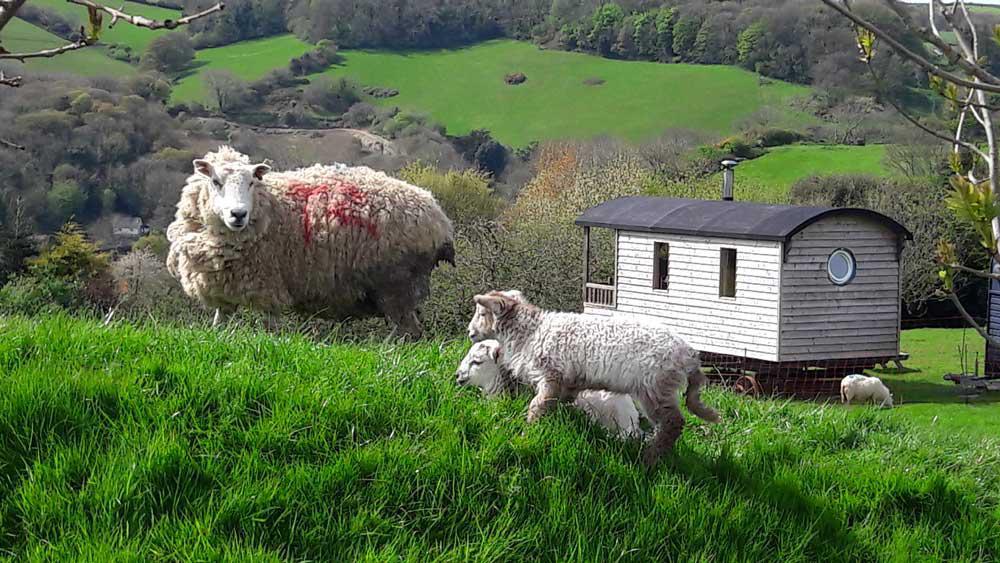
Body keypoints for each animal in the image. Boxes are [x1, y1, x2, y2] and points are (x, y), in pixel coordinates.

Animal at [166, 147, 456, 340]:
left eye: (251, 182)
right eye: (216, 181)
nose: (238, 214)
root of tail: (439, 219)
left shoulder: (269, 285)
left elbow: (271, 329)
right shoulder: (225, 288)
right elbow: (220, 325)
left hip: (396, 285)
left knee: (410, 334)